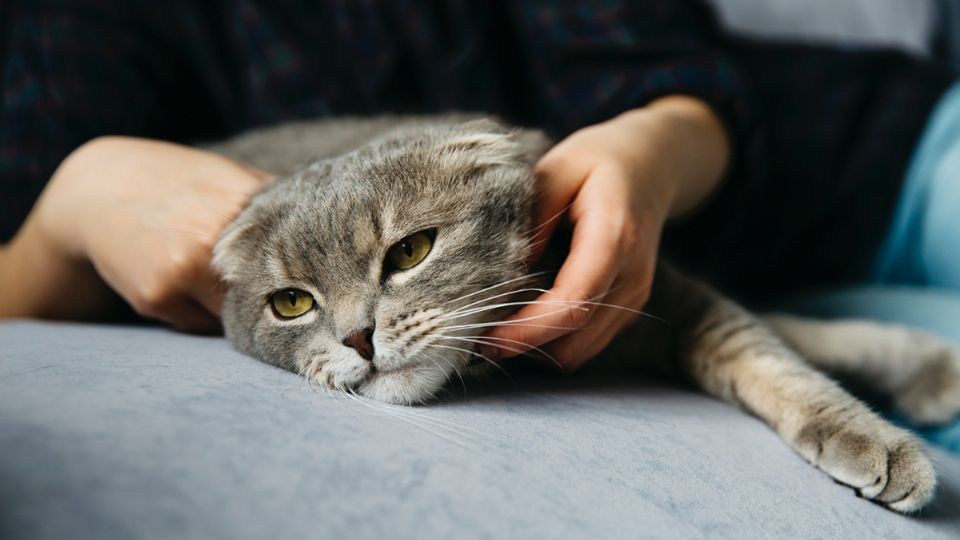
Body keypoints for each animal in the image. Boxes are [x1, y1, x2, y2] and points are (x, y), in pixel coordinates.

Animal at [208, 116, 960, 512]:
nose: (357, 337)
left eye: (410, 251)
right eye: (293, 303)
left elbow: (774, 349)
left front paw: (918, 379)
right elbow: (773, 342)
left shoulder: (659, 299)